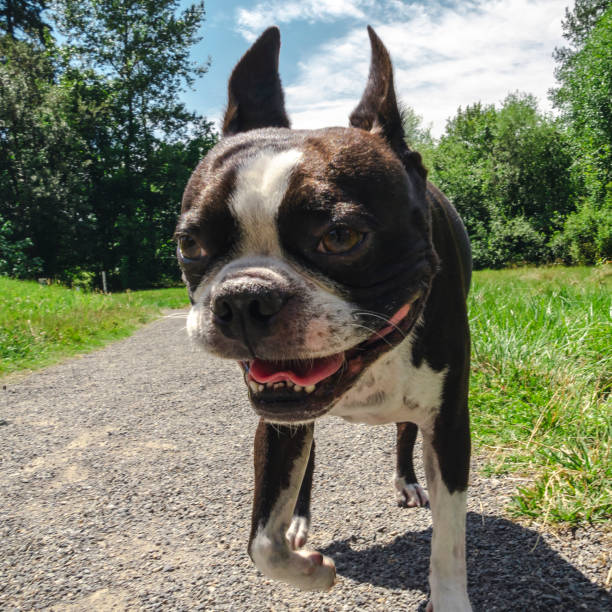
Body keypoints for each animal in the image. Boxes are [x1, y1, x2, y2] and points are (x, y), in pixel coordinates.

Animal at [177, 26, 474, 608]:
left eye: (340, 237)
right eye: (191, 243)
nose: (243, 299)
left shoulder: (451, 426)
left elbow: (449, 542)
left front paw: (449, 597)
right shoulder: (275, 419)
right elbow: (261, 543)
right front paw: (311, 570)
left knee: (403, 434)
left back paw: (406, 481)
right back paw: (299, 521)